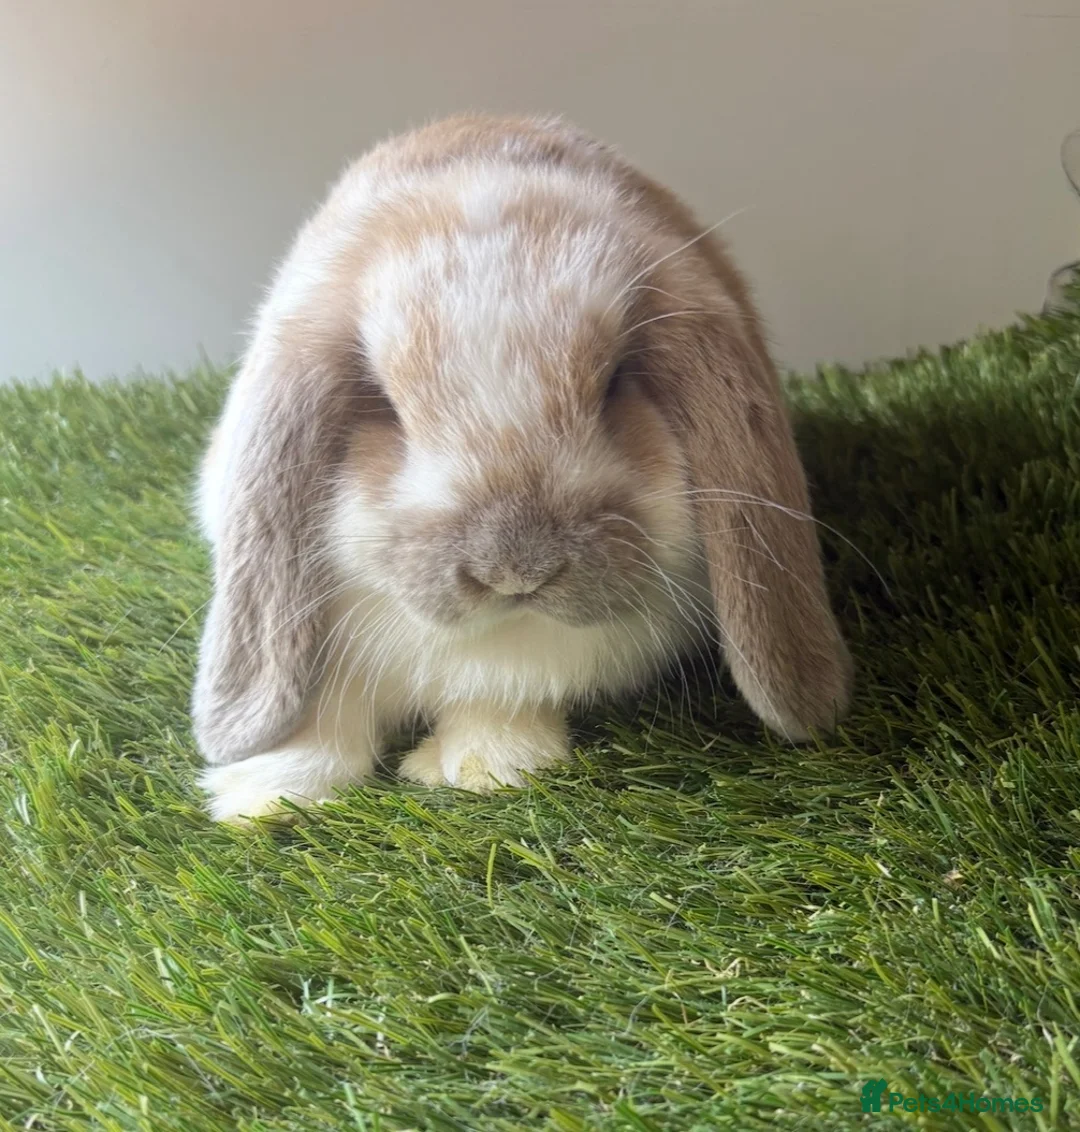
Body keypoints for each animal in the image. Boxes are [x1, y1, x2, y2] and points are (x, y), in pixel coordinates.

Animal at [193, 113, 852, 822]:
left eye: (615, 383)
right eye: (384, 404)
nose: (514, 570)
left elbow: (501, 700)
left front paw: (480, 767)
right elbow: (320, 713)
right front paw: (261, 796)